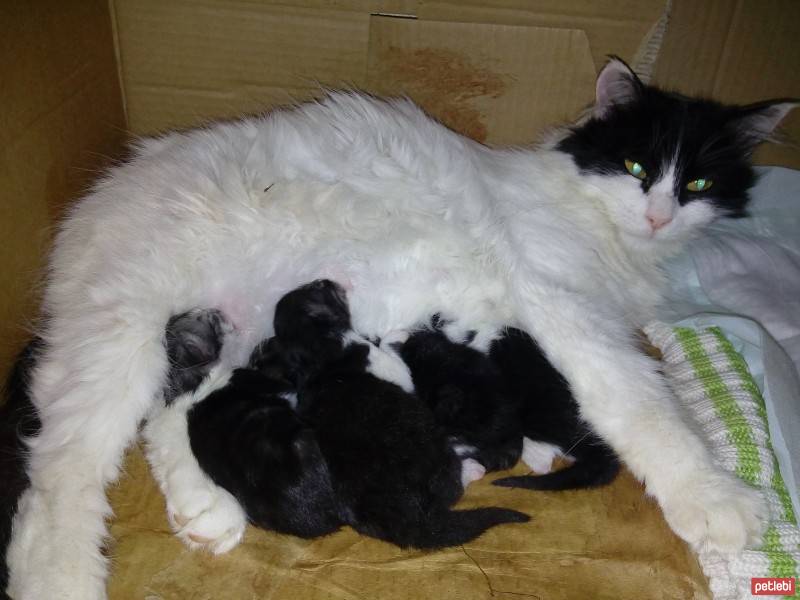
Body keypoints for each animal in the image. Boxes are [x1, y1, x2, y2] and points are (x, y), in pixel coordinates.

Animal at [6, 57, 792, 600]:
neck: (600, 221)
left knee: (176, 413)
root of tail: (97, 198)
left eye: (696, 184)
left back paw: (207, 512)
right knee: (60, 476)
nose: (659, 214)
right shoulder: (566, 308)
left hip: (217, 341)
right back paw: (60, 577)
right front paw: (717, 499)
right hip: (117, 340)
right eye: (634, 166)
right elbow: (642, 402)